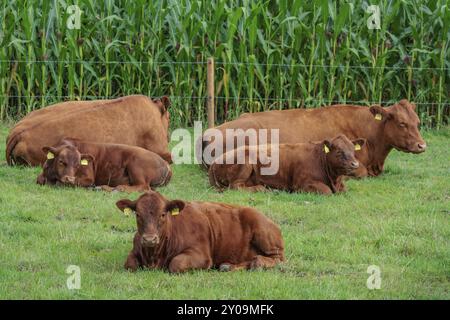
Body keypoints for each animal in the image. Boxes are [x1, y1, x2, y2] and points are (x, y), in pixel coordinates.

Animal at [35, 138, 171, 192]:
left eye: (78, 165)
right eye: (61, 161)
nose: (70, 178)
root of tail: (166, 163)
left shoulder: (89, 178)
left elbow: (60, 183)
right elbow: (39, 179)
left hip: (136, 164)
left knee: (143, 186)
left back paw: (116, 188)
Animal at [117, 191, 284, 274]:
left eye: (163, 214)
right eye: (138, 214)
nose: (149, 239)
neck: (154, 256)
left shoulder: (201, 254)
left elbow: (176, 263)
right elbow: (130, 264)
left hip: (265, 236)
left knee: (277, 259)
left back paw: (258, 263)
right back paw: (227, 266)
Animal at [209, 134, 368, 194]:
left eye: (353, 150)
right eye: (339, 152)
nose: (355, 164)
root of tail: (214, 162)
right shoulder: (302, 184)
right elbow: (326, 191)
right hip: (245, 165)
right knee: (236, 186)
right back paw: (263, 188)